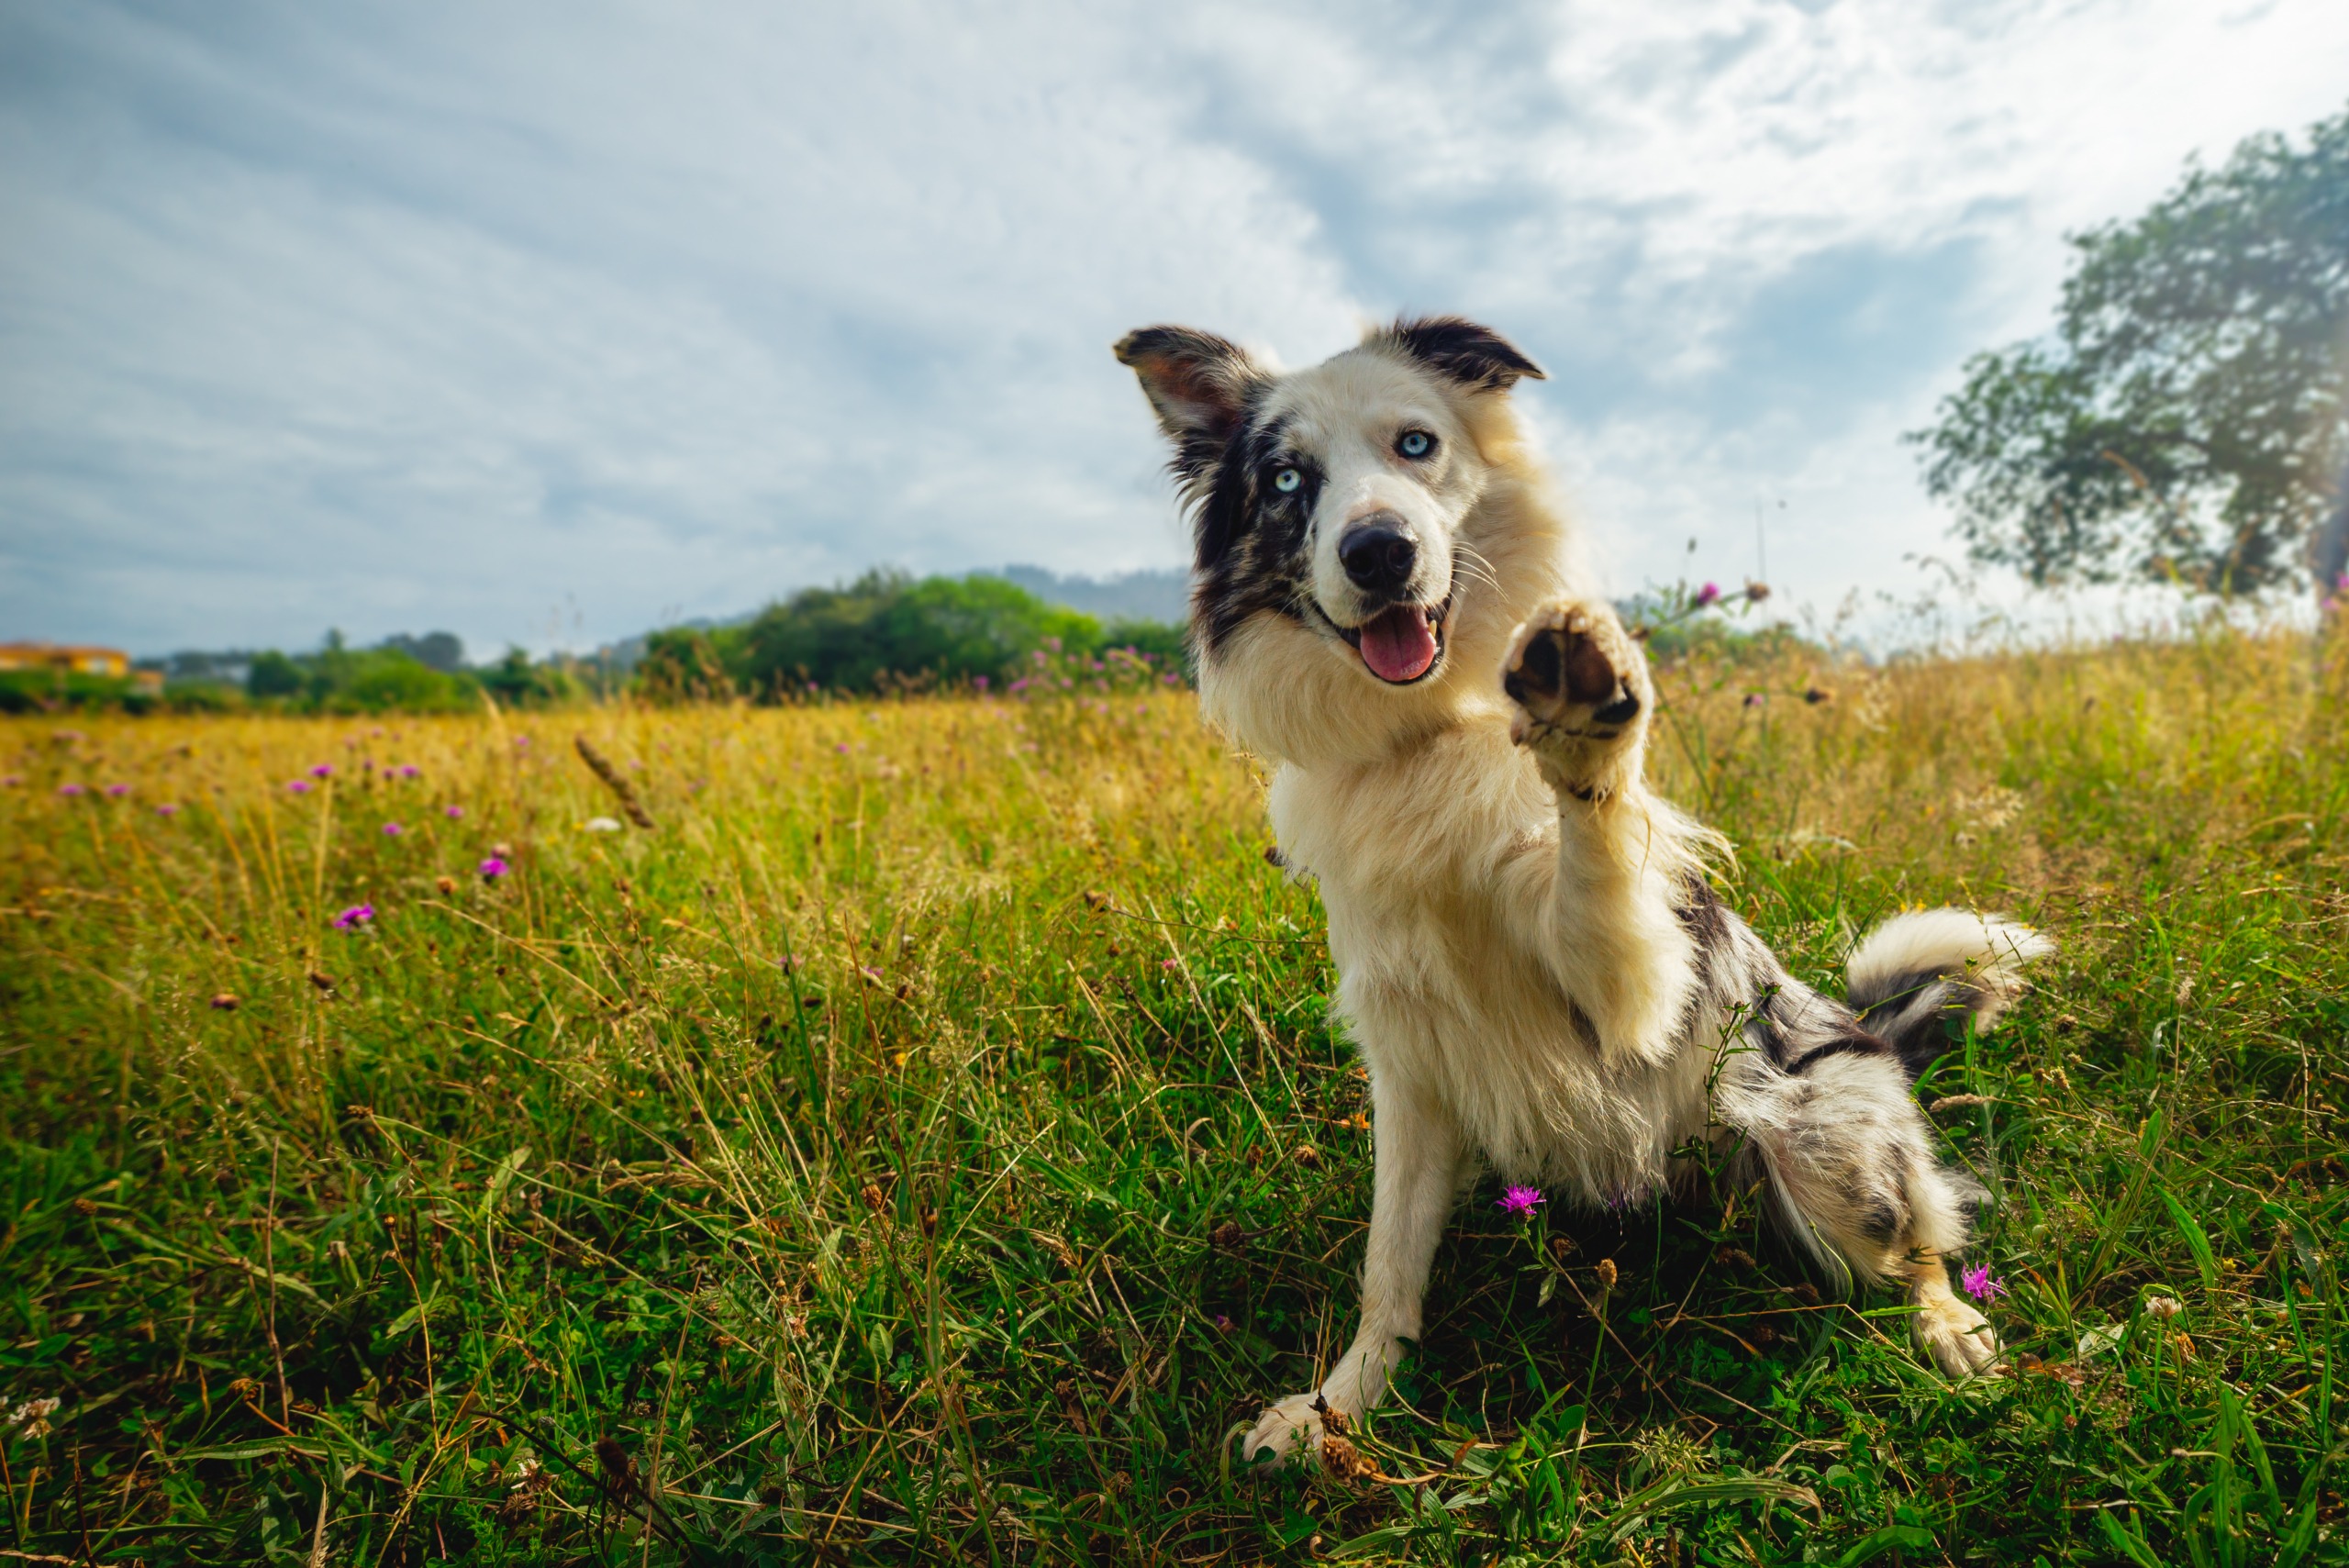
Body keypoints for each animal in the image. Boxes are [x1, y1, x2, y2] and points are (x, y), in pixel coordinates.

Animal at [1108, 318, 2048, 1473]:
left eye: (1414, 442)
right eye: (1287, 479)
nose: (1379, 551)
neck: (1426, 735)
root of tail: (1872, 1035)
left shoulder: (1627, 990)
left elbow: (1593, 852)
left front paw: (1586, 725)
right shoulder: (1408, 1059)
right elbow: (1388, 1262)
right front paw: (1342, 1404)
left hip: (1818, 1136)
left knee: (1917, 1234)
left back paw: (1945, 1320)